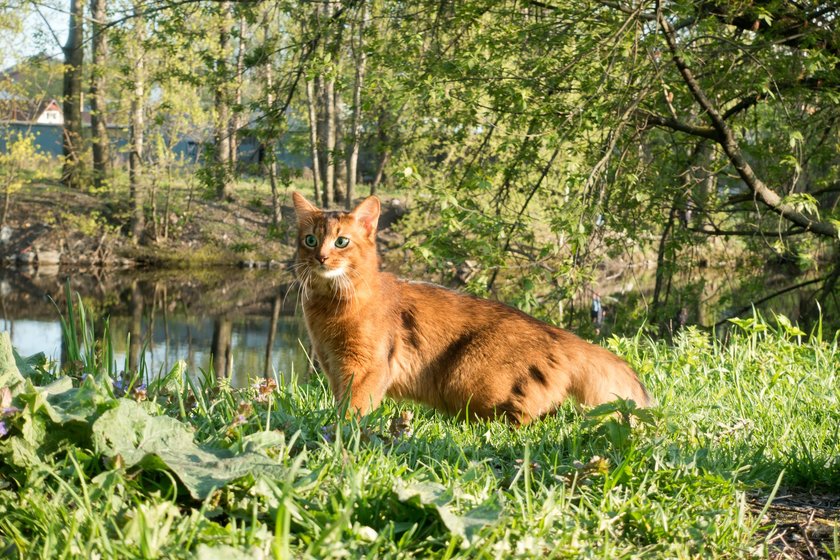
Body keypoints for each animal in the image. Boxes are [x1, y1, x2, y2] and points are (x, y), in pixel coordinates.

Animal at [292, 194, 652, 424]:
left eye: (341, 242)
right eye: (310, 240)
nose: (321, 257)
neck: (329, 307)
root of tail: (557, 333)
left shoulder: (366, 367)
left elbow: (352, 412)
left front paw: (340, 432)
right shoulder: (334, 367)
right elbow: (341, 404)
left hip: (466, 377)